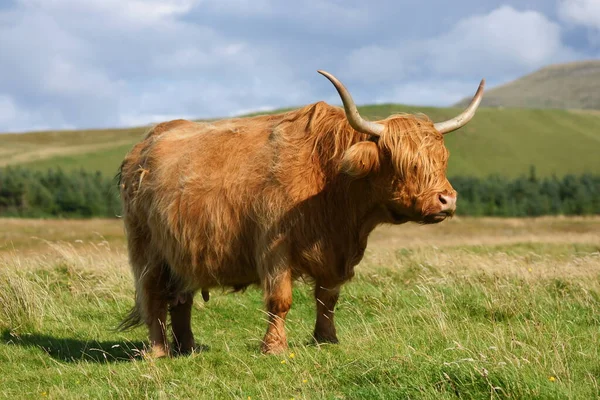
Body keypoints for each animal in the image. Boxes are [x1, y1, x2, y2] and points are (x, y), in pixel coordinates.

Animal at [116, 71, 482, 356]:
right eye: (404, 162)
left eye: (441, 159)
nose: (446, 200)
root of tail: (145, 144)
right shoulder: (274, 246)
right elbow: (281, 300)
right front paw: (274, 348)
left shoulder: (336, 254)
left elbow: (327, 298)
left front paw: (326, 339)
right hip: (148, 250)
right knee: (153, 297)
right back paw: (159, 352)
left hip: (183, 252)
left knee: (181, 300)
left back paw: (188, 348)